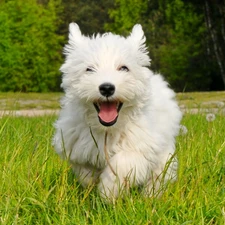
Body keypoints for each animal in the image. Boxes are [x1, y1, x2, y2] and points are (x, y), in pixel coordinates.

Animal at [53, 23, 183, 201]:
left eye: (124, 68)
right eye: (89, 69)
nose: (107, 88)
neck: (107, 130)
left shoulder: (140, 145)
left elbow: (121, 164)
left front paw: (108, 191)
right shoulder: (74, 143)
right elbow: (84, 169)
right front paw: (93, 184)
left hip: (164, 151)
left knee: (159, 174)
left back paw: (150, 196)